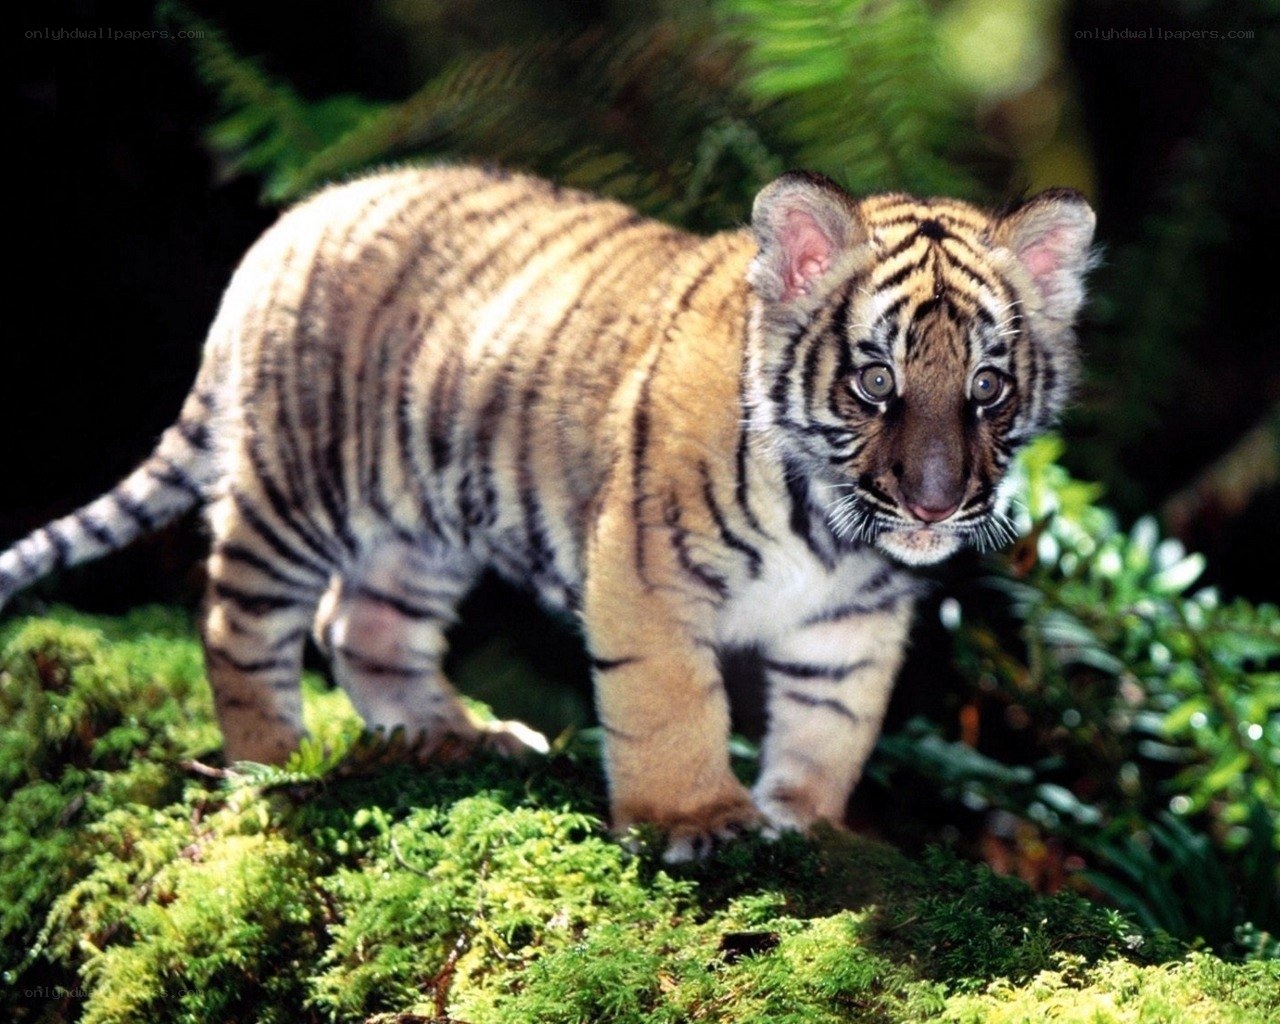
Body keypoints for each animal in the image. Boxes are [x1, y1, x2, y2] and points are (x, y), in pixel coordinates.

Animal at [0, 165, 1094, 859]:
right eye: (874, 383)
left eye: (987, 389)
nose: (935, 501)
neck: (831, 527)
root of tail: (290, 224)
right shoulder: (647, 576)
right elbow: (671, 704)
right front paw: (695, 819)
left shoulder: (851, 622)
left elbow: (833, 726)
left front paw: (804, 819)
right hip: (300, 487)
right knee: (240, 618)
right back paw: (274, 763)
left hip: (424, 520)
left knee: (361, 624)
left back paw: (452, 736)